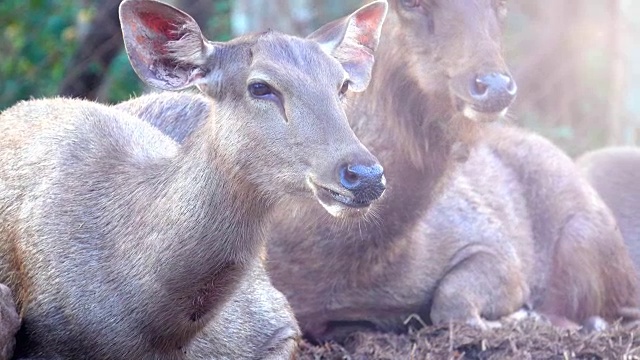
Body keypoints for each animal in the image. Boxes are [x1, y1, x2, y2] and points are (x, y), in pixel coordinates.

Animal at [125, 0, 640, 342]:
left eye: (503, 4)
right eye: (412, 4)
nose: (493, 85)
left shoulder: (493, 243)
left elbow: (451, 302)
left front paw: (519, 315)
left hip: (587, 237)